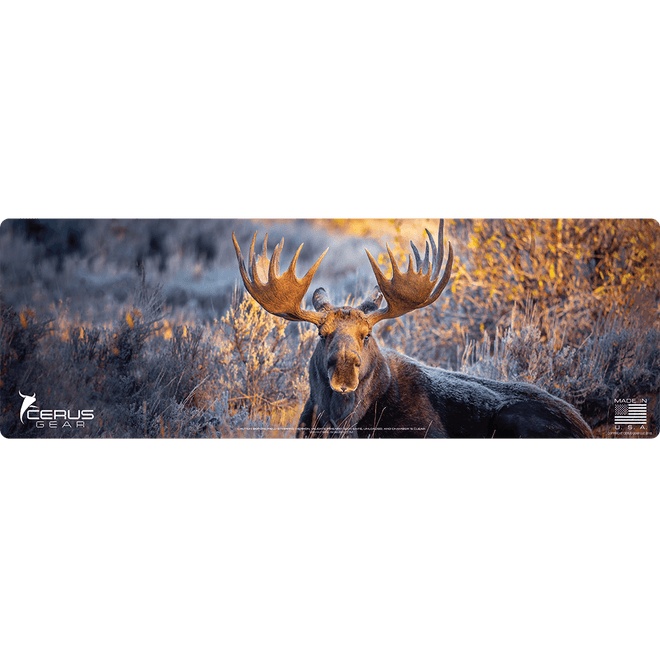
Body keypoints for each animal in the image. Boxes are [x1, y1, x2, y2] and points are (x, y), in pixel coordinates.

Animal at [232, 219, 593, 439]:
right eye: (322, 335)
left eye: (367, 336)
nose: (345, 372)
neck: (344, 422)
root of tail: (586, 429)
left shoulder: (428, 432)